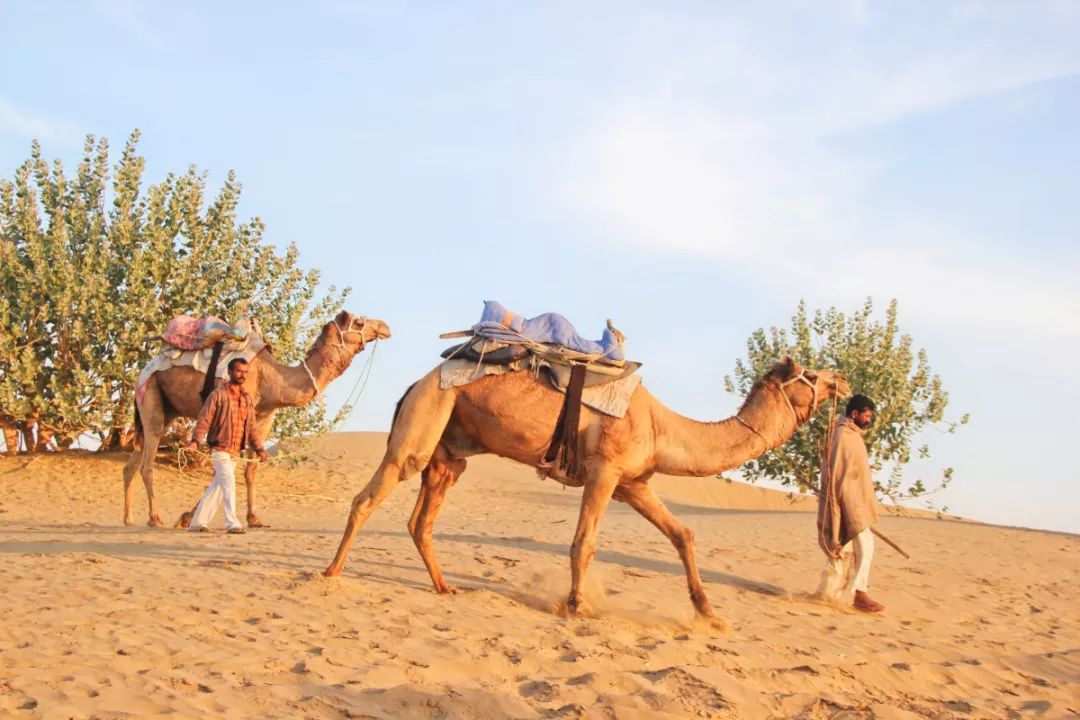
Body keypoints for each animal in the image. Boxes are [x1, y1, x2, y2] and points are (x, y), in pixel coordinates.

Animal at [121, 310, 388, 528]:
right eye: (359, 322)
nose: (385, 326)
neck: (272, 378)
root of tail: (144, 370)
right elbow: (226, 468)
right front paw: (187, 516)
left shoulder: (263, 417)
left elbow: (250, 469)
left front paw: (253, 518)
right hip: (150, 393)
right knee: (147, 461)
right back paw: (154, 518)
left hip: (164, 408)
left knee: (132, 461)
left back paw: (128, 518)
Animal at [324, 358, 846, 626]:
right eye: (812, 373)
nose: (842, 378)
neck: (662, 427)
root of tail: (416, 380)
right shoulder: (604, 472)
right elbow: (584, 543)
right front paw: (576, 606)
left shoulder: (633, 484)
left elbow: (683, 534)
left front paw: (709, 613)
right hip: (426, 416)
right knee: (372, 494)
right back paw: (330, 574)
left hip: (449, 451)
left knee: (422, 519)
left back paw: (445, 586)